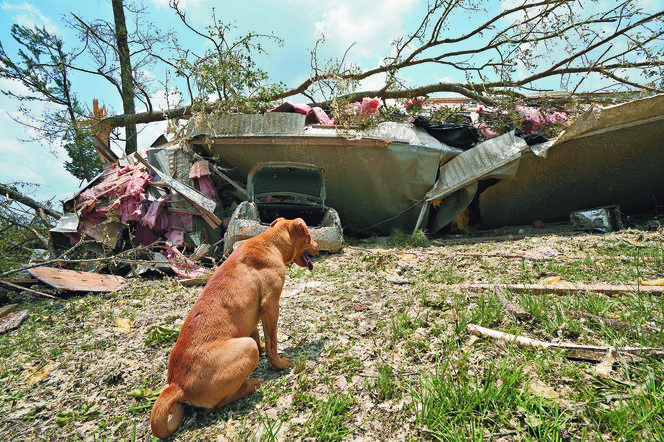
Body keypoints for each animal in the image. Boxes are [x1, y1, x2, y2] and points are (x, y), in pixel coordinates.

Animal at [150, 218, 320, 438]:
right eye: (309, 236)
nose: (318, 246)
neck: (270, 243)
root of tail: (176, 385)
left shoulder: (255, 314)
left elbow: (257, 333)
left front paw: (264, 348)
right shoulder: (270, 305)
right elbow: (273, 343)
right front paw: (279, 363)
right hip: (246, 348)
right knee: (214, 406)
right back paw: (250, 384)